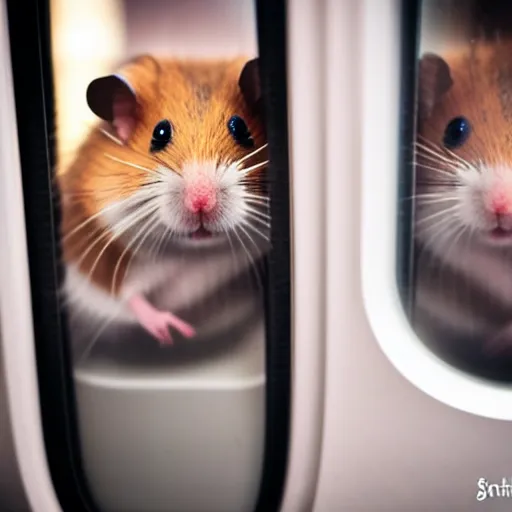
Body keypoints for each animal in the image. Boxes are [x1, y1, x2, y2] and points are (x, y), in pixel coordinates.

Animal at [57, 55, 270, 360]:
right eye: (160, 133)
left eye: (241, 130)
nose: (201, 201)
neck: (192, 255)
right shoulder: (93, 256)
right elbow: (125, 297)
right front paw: (173, 332)